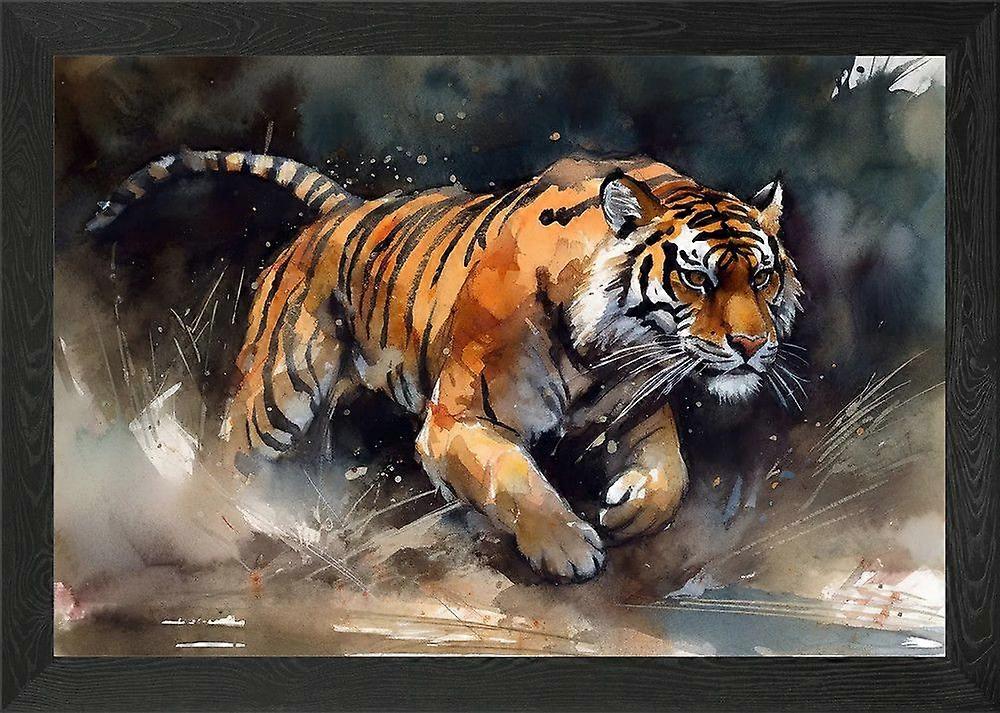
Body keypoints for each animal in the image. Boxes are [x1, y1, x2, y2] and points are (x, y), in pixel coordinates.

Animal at [89, 148, 802, 583]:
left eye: (763, 275)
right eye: (696, 276)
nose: (751, 344)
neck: (605, 353)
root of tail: (343, 209)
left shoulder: (640, 406)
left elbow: (672, 473)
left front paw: (628, 511)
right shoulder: (457, 421)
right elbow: (513, 477)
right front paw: (568, 546)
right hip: (277, 390)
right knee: (226, 456)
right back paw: (213, 527)